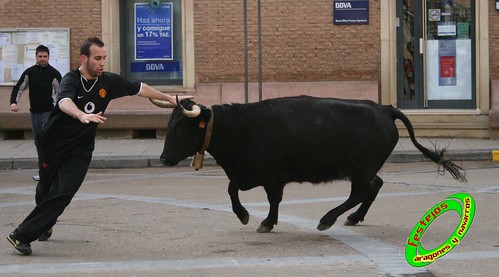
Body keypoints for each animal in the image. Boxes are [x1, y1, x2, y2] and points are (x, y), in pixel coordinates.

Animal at [154, 96, 466, 232]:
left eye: (181, 127)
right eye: (169, 125)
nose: (164, 159)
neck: (241, 126)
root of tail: (384, 108)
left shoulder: (273, 177)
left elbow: (273, 200)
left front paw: (266, 222)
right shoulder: (246, 174)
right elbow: (231, 190)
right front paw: (243, 215)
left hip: (361, 169)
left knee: (359, 193)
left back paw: (328, 219)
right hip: (364, 169)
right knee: (374, 187)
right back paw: (353, 218)